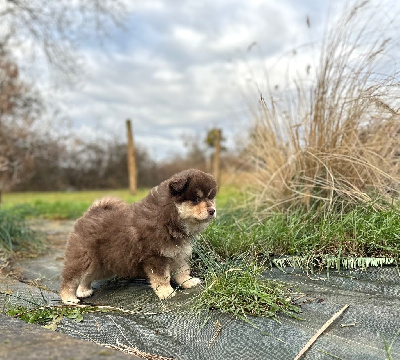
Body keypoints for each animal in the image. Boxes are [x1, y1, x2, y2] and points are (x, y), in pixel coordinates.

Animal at [59, 169, 217, 304]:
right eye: (196, 199)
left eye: (211, 198)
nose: (213, 210)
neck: (169, 216)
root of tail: (90, 213)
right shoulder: (155, 257)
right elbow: (162, 278)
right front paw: (166, 292)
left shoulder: (179, 253)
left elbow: (182, 270)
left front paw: (188, 282)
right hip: (84, 258)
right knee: (70, 280)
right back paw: (69, 298)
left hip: (101, 264)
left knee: (87, 276)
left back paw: (84, 290)